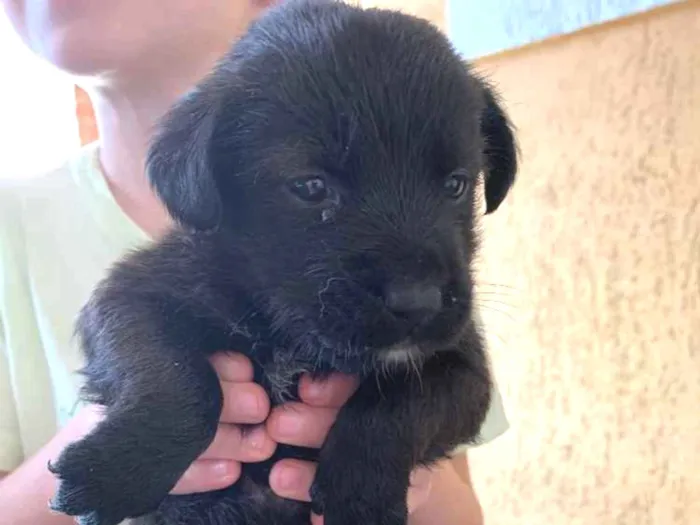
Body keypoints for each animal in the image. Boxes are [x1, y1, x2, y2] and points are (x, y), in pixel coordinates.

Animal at [49, 1, 516, 524]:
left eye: (456, 184)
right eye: (311, 187)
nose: (418, 303)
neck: (288, 336)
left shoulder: (464, 368)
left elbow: (402, 402)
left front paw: (360, 492)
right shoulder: (129, 295)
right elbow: (179, 377)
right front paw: (116, 470)